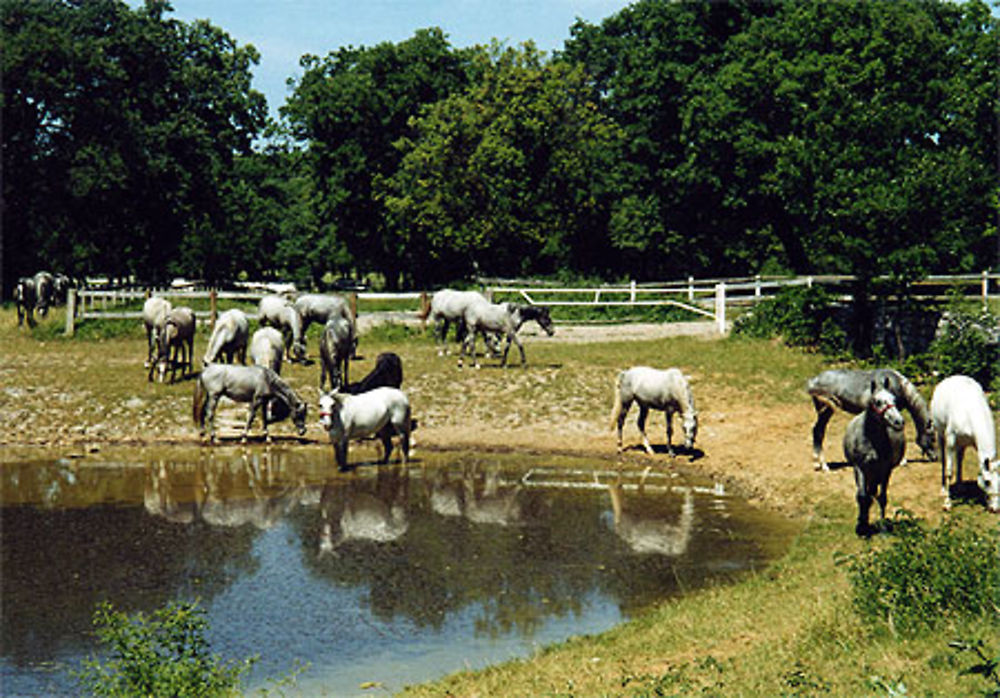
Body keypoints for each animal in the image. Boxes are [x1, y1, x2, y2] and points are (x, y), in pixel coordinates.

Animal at [804, 364, 936, 468]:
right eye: (933, 437)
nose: (935, 458)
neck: (899, 385)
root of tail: (813, 381)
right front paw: (902, 461)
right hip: (827, 411)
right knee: (818, 431)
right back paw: (824, 466)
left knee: (818, 431)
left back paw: (818, 463)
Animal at [844, 378, 908, 536]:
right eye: (878, 402)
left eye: (894, 399)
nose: (899, 422)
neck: (871, 440)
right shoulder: (860, 467)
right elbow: (862, 497)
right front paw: (863, 526)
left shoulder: (885, 470)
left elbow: (882, 498)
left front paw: (883, 527)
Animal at [924, 376, 996, 512]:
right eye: (987, 482)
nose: (995, 508)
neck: (970, 411)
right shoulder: (951, 440)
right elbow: (949, 472)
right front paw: (947, 503)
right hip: (940, 435)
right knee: (943, 461)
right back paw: (943, 489)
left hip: (962, 443)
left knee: (959, 460)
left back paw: (959, 486)